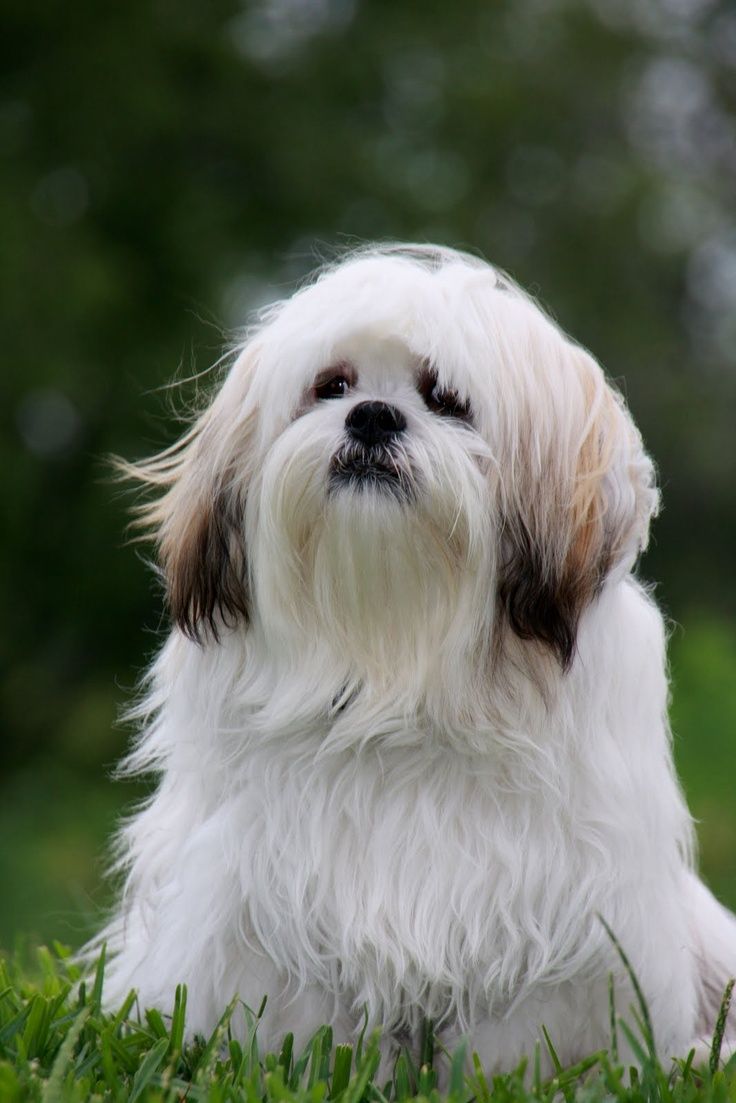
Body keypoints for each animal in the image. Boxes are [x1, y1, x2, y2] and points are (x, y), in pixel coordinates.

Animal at [97, 245, 736, 1072]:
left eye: (447, 399)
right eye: (332, 385)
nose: (373, 415)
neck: (397, 664)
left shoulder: (551, 911)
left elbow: (518, 1043)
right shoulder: (261, 893)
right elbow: (293, 1024)